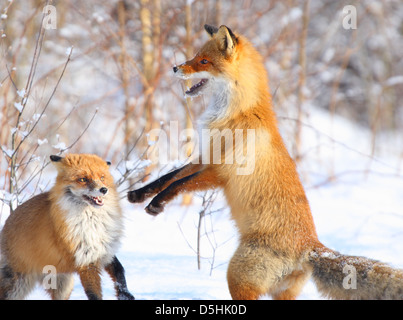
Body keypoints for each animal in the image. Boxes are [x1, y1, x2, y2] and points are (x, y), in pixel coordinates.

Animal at [0, 153, 136, 300]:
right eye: (83, 179)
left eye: (102, 178)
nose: (104, 189)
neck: (93, 222)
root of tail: (5, 225)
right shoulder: (85, 261)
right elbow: (94, 293)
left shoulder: (103, 249)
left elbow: (119, 270)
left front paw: (125, 294)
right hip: (17, 286)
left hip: (63, 286)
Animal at [129, 24, 403, 300]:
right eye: (195, 56)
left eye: (203, 61)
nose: (175, 68)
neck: (237, 113)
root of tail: (311, 247)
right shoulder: (205, 158)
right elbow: (168, 177)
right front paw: (138, 194)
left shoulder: (220, 172)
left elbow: (178, 184)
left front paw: (156, 204)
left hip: (238, 277)